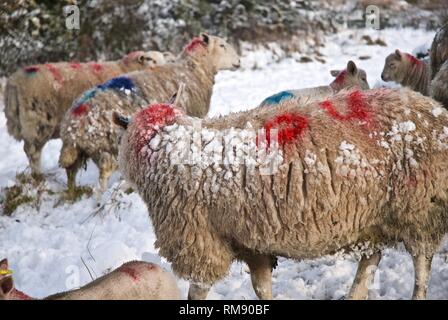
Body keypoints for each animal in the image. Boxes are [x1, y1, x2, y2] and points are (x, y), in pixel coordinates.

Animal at [58, 33, 242, 196]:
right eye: (222, 45)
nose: (239, 61)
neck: (194, 70)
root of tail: (72, 127)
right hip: (105, 150)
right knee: (101, 184)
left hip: (81, 156)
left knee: (71, 178)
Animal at [114, 85, 448, 300]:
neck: (169, 143)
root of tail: (437, 110)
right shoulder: (251, 241)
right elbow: (262, 287)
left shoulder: (199, 240)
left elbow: (198, 290)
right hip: (372, 217)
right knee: (371, 259)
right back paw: (355, 294)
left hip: (420, 206)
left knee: (421, 261)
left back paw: (416, 294)